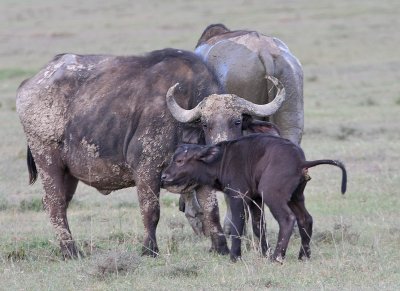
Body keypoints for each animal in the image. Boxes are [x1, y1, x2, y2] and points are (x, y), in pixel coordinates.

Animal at [16, 48, 284, 260]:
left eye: (237, 121)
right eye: (206, 124)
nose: (221, 146)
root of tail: (29, 84)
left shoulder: (203, 179)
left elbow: (211, 211)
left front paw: (220, 248)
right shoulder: (147, 170)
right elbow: (151, 211)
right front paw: (149, 249)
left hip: (68, 172)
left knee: (61, 204)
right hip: (48, 160)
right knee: (54, 204)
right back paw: (71, 251)